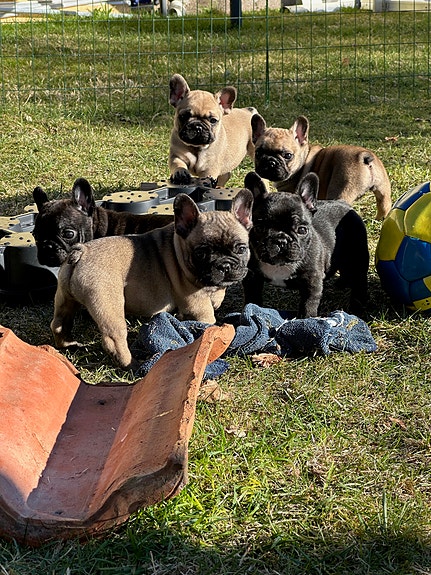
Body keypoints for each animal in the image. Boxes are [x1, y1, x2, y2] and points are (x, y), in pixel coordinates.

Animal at [51, 189, 254, 370]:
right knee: (113, 339)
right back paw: (132, 364)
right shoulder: (198, 305)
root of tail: (81, 252)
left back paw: (68, 344)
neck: (178, 249)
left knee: (59, 323)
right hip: (108, 305)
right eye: (201, 253)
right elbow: (208, 319)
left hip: (64, 298)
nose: (224, 265)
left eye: (241, 249)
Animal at [242, 171, 369, 318]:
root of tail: (345, 205)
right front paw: (251, 309)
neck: (280, 265)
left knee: (359, 282)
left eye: (302, 230)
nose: (281, 240)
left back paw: (358, 308)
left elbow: (308, 304)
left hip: (358, 257)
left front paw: (306, 319)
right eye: (259, 228)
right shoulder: (252, 278)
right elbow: (253, 297)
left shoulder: (312, 281)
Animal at [251, 114, 392, 220]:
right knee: (384, 204)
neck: (304, 158)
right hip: (383, 189)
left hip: (342, 190)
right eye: (258, 153)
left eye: (288, 155)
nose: (271, 162)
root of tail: (364, 157)